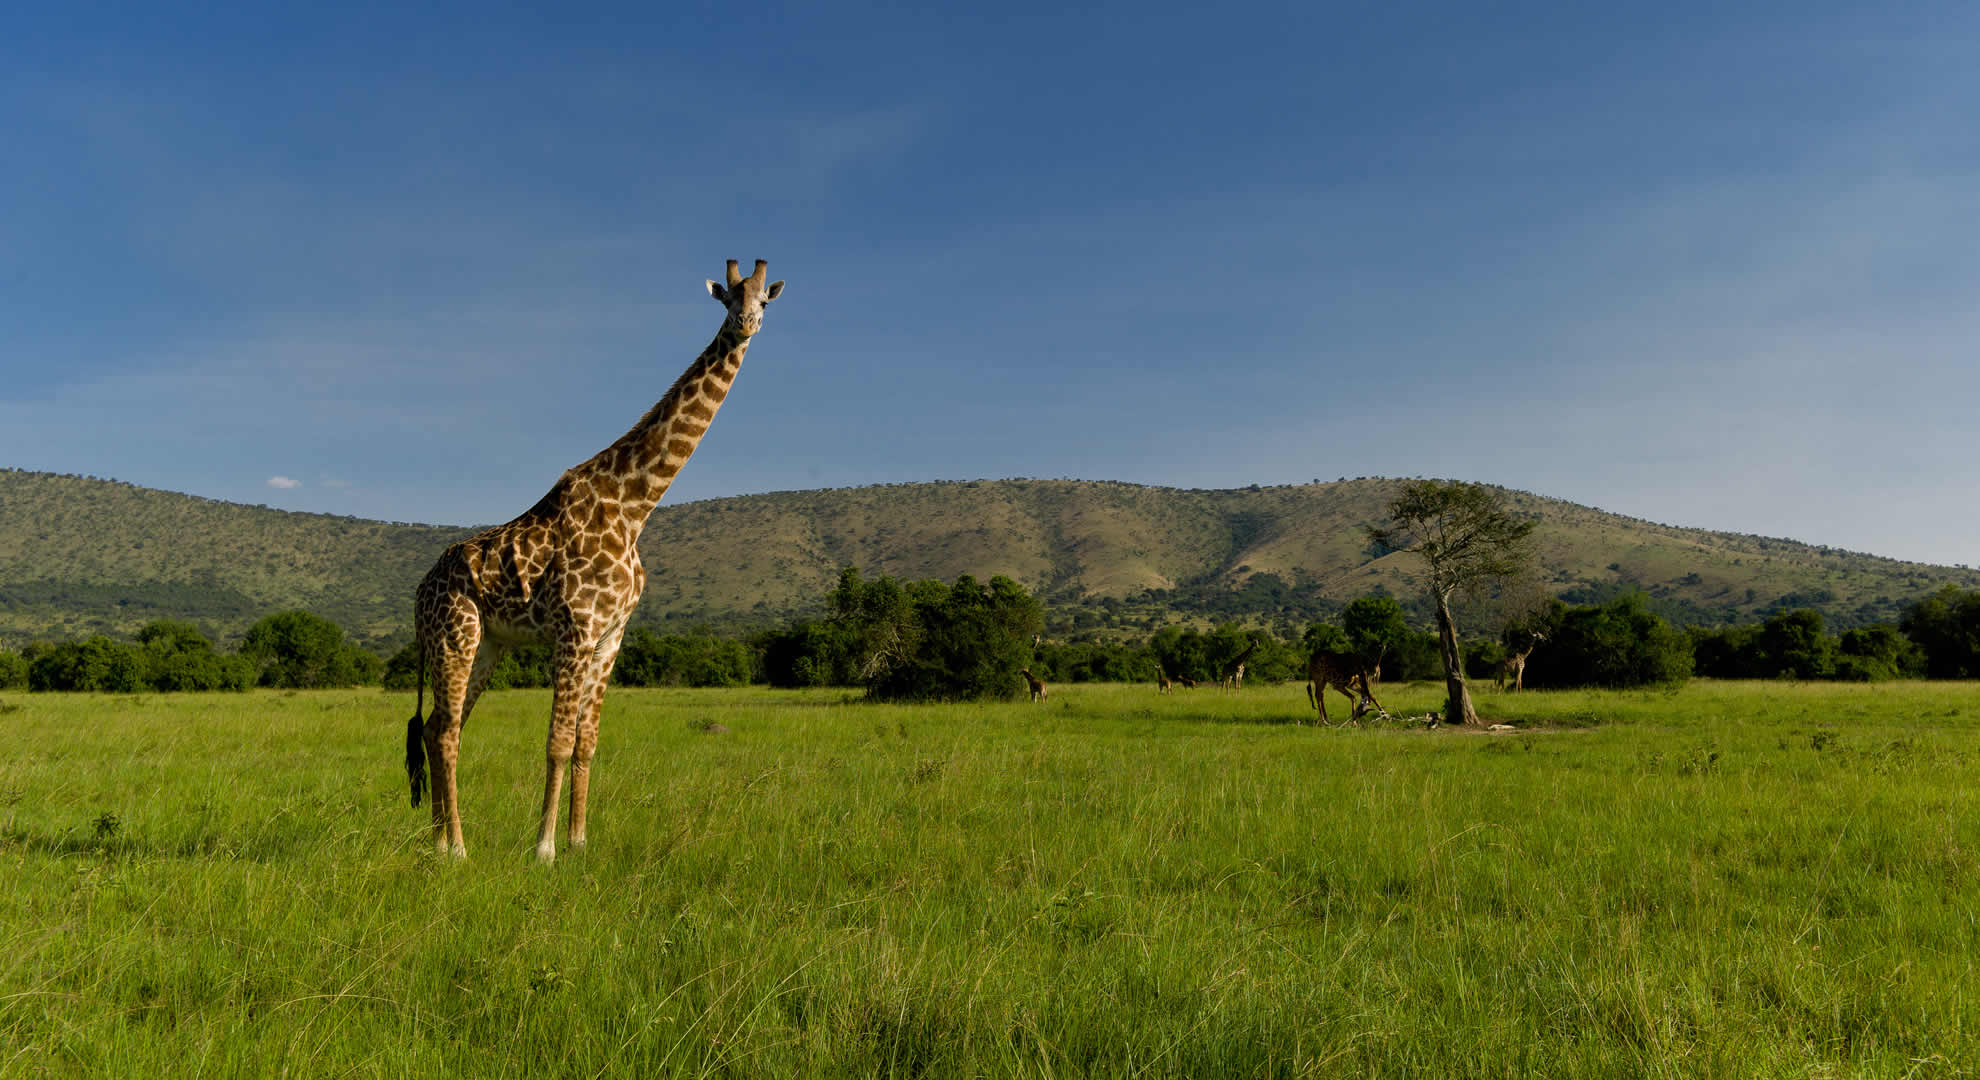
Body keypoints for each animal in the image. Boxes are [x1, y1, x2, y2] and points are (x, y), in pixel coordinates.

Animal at [405, 257, 784, 864]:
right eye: (729, 299)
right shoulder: (575, 629)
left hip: (485, 645)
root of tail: (419, 592)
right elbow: (558, 744)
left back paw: (439, 842)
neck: (635, 505)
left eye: (764, 300)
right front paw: (543, 849)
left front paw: (580, 841)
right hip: (453, 635)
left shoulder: (611, 637)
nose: (747, 324)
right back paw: (458, 848)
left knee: (444, 725)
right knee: (442, 732)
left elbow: (587, 745)